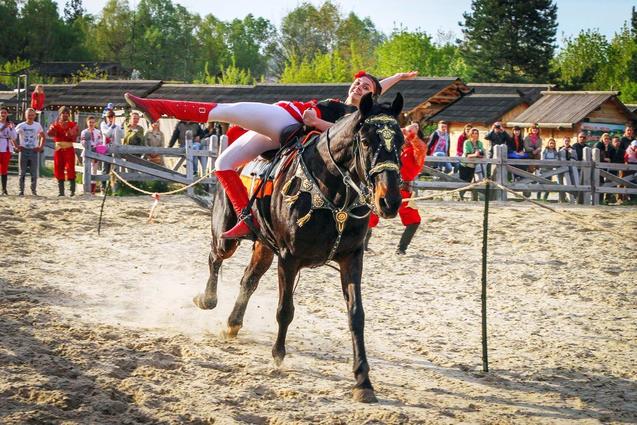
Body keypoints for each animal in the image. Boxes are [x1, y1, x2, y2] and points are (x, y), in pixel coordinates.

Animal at [191, 93, 404, 400]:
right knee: (215, 257)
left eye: (401, 142)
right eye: (365, 141)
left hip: (264, 247)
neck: (333, 193)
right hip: (226, 236)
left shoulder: (351, 258)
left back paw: (233, 322)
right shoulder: (289, 258)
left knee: (249, 279)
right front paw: (278, 354)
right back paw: (206, 299)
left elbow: (356, 316)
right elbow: (285, 309)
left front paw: (363, 381)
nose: (390, 201)